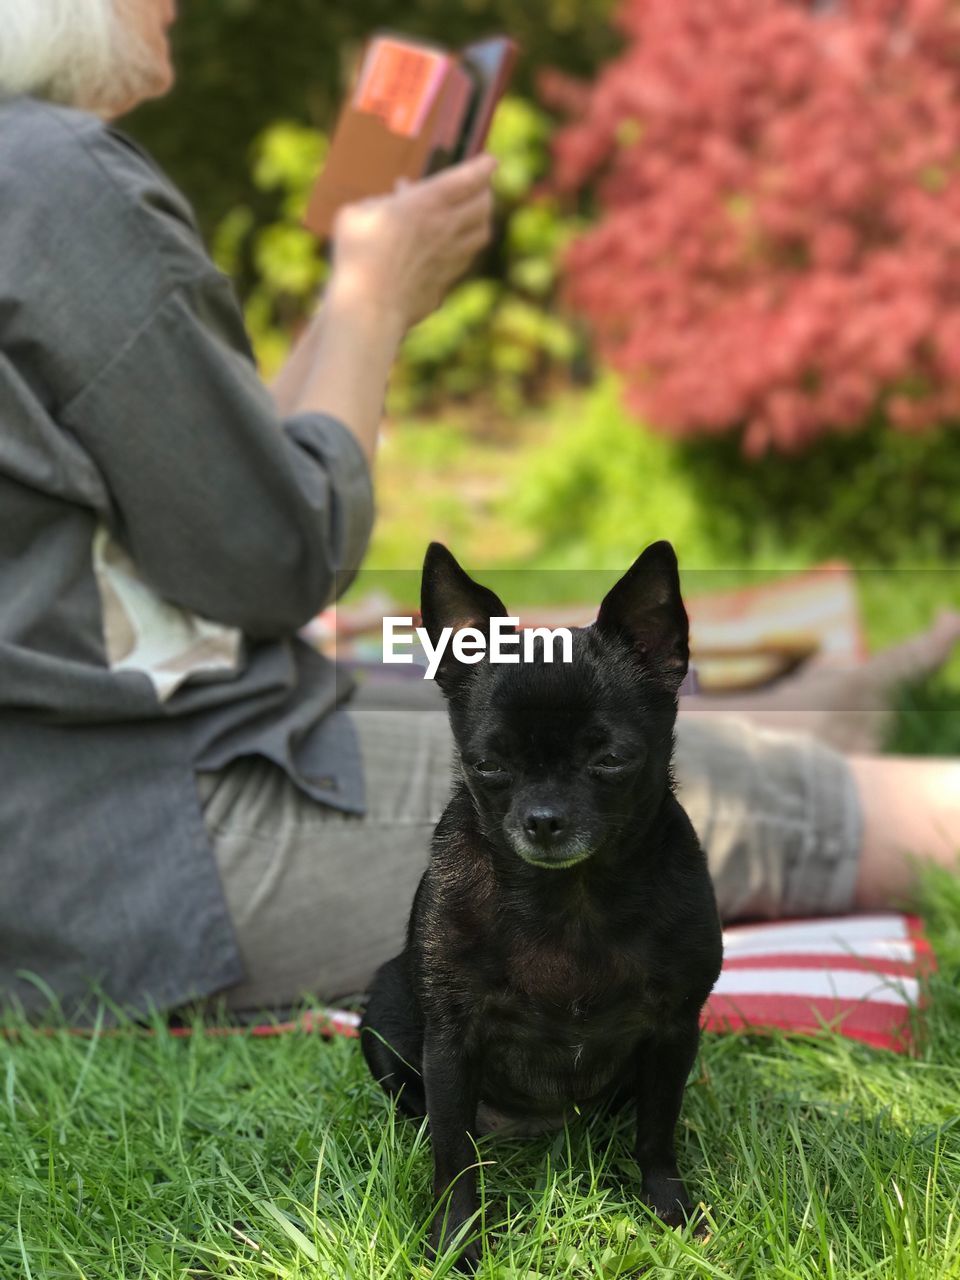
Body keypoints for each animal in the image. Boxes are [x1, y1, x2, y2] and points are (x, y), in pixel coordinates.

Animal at [363, 540, 727, 1269]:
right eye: (487, 765)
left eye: (611, 760)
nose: (544, 819)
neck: (571, 898)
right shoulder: (452, 1041)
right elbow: (454, 1160)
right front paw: (457, 1243)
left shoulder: (674, 1030)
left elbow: (657, 1134)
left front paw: (673, 1213)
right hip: (385, 1009)